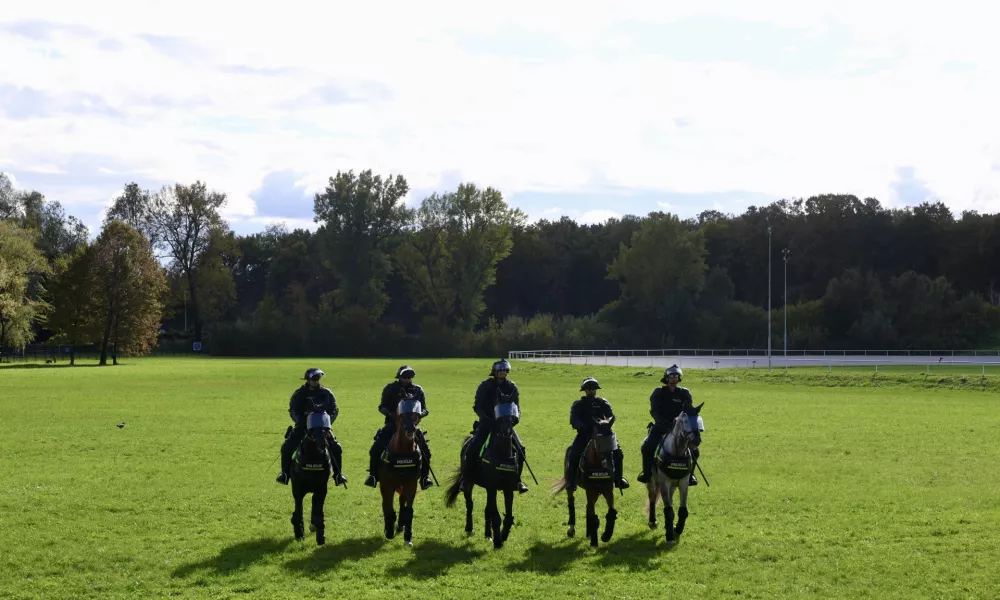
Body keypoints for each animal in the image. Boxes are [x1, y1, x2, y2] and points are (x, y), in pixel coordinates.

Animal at [290, 412, 340, 544]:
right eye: (312, 429)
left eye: (325, 427)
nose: (322, 442)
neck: (313, 456)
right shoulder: (298, 489)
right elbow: (298, 511)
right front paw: (299, 532)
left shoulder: (321, 488)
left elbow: (318, 511)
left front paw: (320, 534)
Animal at [376, 398, 422, 544]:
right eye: (401, 415)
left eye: (416, 414)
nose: (410, 429)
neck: (402, 452)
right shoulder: (386, 485)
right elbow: (388, 507)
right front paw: (389, 531)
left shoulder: (411, 484)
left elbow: (408, 509)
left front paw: (408, 536)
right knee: (385, 504)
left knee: (402, 501)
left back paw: (401, 523)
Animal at [446, 400, 524, 552]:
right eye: (499, 417)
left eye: (512, 414)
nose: (507, 430)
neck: (502, 454)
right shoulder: (492, 487)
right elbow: (496, 516)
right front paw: (498, 542)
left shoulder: (507, 488)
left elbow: (507, 516)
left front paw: (502, 536)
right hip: (470, 485)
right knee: (470, 505)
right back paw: (469, 528)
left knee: (487, 510)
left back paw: (488, 534)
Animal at [556, 418, 616, 548]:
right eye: (598, 437)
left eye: (612, 437)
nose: (608, 464)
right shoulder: (591, 490)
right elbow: (593, 514)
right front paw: (595, 541)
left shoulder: (608, 490)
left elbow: (611, 510)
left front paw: (606, 535)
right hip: (572, 487)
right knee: (572, 502)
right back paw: (572, 529)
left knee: (588, 507)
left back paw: (589, 534)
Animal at [648, 404, 704, 544]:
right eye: (685, 421)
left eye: (698, 420)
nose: (696, 440)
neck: (677, 453)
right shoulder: (664, 482)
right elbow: (669, 511)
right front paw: (669, 536)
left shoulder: (683, 483)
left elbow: (683, 510)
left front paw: (677, 529)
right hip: (652, 481)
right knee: (652, 497)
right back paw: (652, 521)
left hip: (673, 485)